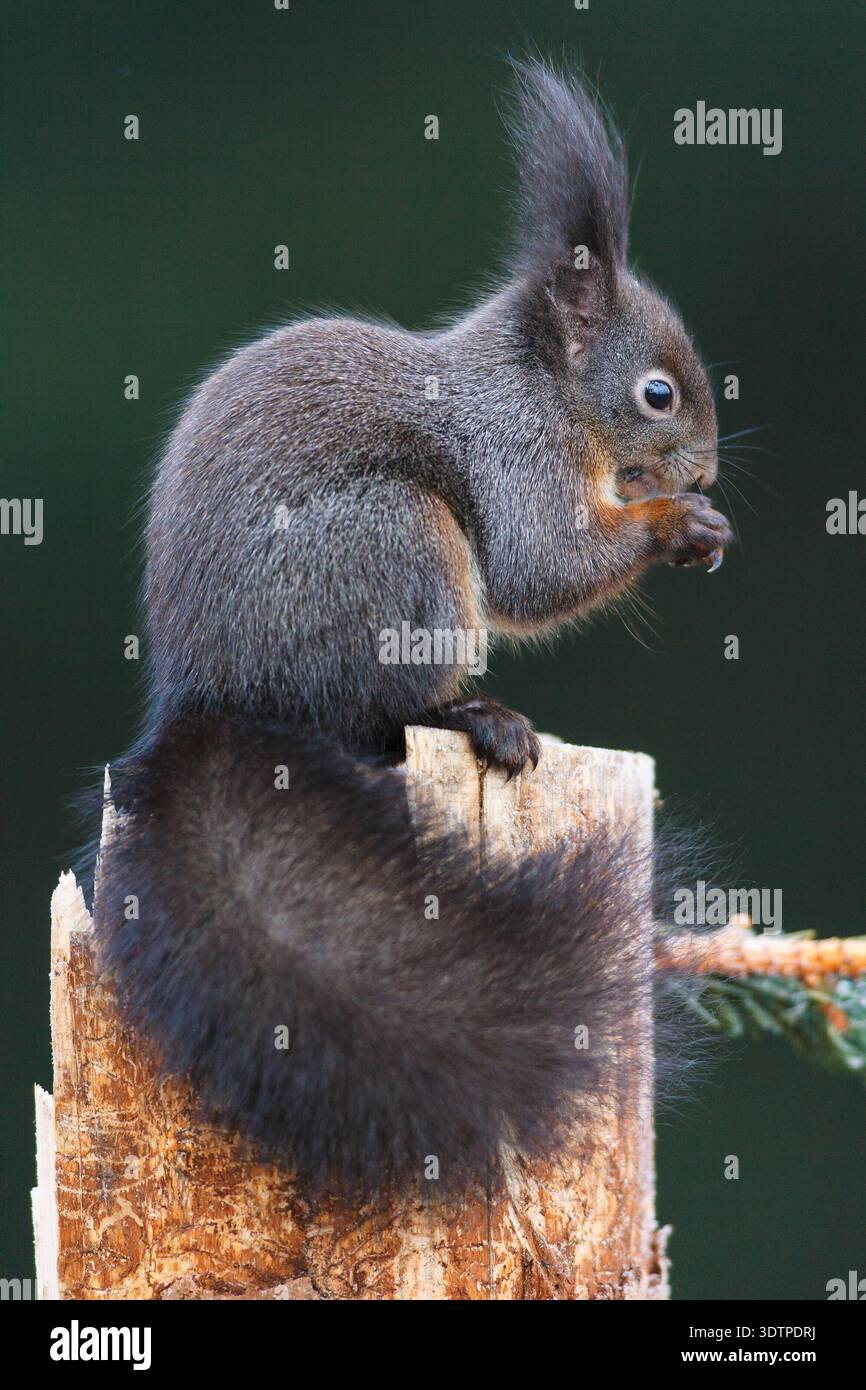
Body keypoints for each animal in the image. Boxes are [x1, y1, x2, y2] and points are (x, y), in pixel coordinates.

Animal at [95, 59, 732, 1196]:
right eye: (656, 394)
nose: (703, 470)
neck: (537, 386)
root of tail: (206, 695)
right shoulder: (514, 453)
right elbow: (537, 564)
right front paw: (676, 525)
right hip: (395, 547)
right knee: (372, 710)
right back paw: (474, 716)